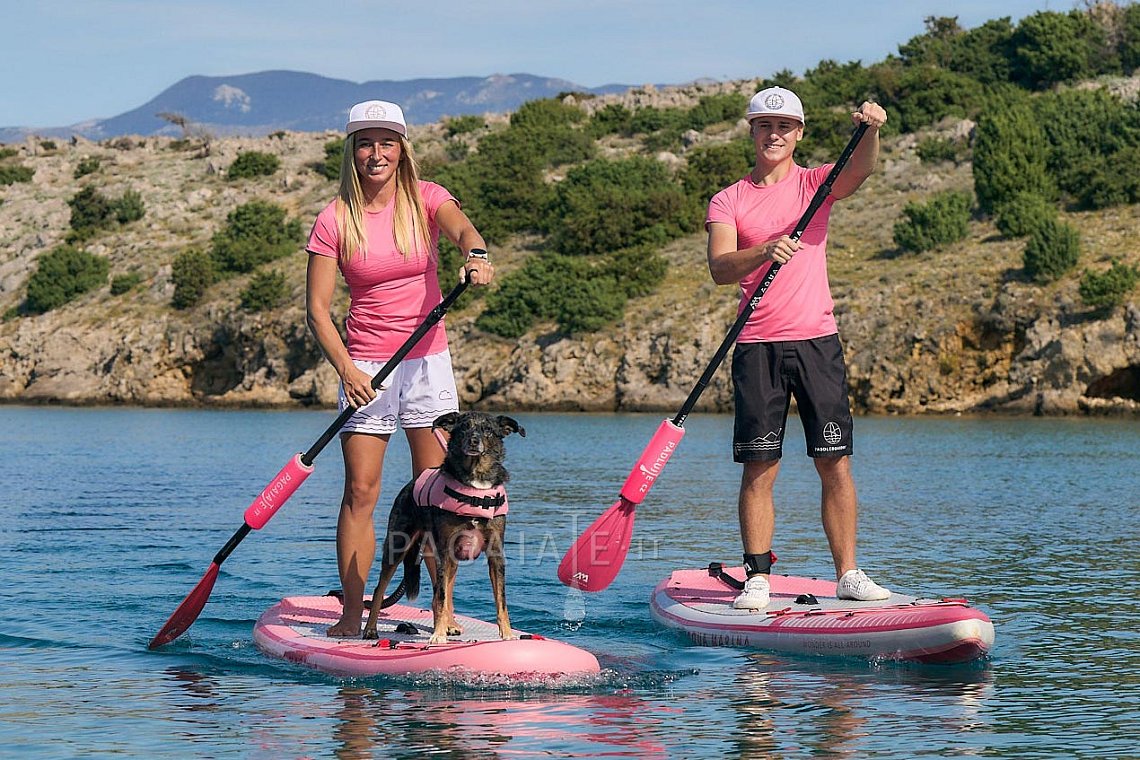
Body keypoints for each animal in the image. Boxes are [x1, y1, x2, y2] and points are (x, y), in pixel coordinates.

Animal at [362, 412, 526, 647]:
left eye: (488, 430)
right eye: (464, 427)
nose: (474, 441)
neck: (475, 484)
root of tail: (410, 484)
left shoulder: (495, 553)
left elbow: (501, 599)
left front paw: (508, 634)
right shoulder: (445, 552)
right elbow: (441, 596)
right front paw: (438, 635)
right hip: (398, 546)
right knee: (380, 589)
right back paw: (370, 629)